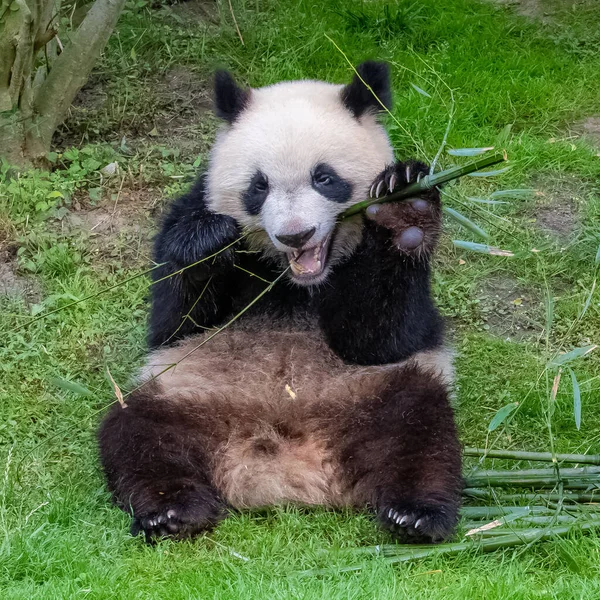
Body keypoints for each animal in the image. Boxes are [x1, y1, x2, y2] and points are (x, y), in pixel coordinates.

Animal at [99, 62, 464, 544]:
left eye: (324, 177)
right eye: (259, 186)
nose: (295, 235)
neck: (293, 282)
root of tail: (282, 465)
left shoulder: (389, 326)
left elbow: (381, 337)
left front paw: (404, 208)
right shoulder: (188, 212)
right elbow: (173, 323)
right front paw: (208, 242)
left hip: (377, 391)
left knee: (419, 432)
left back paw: (416, 514)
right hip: (185, 392)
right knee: (140, 434)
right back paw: (173, 510)